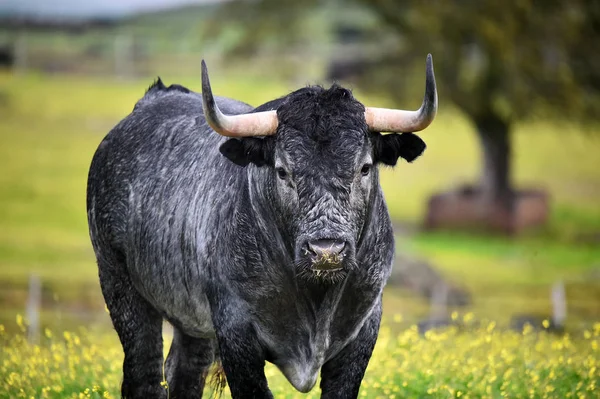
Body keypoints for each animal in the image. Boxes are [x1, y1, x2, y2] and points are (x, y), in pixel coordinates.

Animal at [86, 54, 438, 399]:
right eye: (282, 171)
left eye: (364, 167)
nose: (326, 251)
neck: (316, 296)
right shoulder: (235, 331)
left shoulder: (363, 329)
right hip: (118, 283)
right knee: (144, 375)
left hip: (192, 321)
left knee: (184, 373)